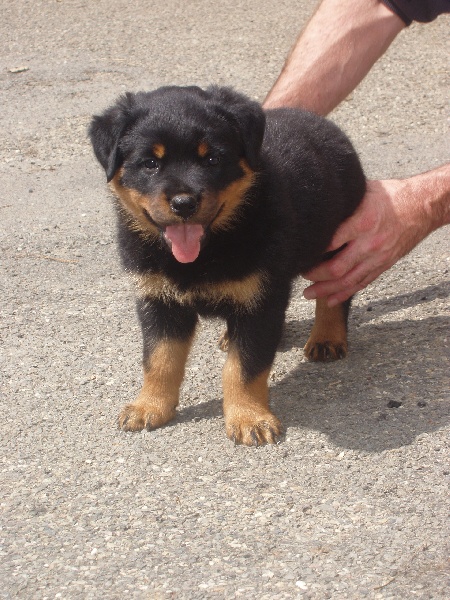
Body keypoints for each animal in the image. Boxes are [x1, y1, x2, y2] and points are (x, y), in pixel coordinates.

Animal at [89, 85, 366, 446]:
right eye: (150, 163)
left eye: (212, 159)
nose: (184, 203)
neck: (205, 250)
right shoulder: (158, 298)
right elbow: (159, 359)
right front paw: (149, 405)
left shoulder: (259, 300)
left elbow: (244, 367)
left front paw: (249, 417)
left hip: (336, 244)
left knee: (336, 292)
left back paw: (327, 337)